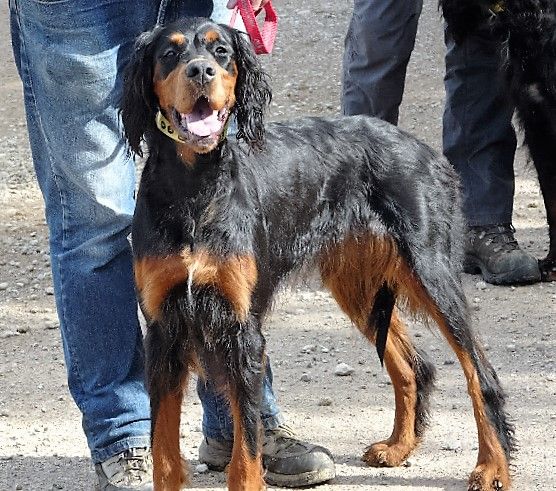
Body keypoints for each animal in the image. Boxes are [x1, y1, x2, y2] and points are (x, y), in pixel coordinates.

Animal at [122, 17, 516, 490]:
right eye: (169, 53)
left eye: (221, 52)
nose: (201, 72)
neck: (194, 187)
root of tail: (424, 150)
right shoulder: (163, 329)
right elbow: (164, 451)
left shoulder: (241, 328)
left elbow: (246, 451)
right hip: (357, 284)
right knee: (413, 365)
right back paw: (398, 447)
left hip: (431, 272)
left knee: (481, 374)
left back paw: (491, 467)